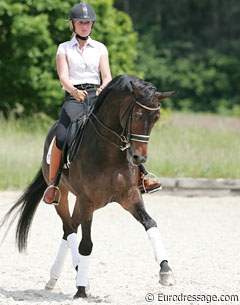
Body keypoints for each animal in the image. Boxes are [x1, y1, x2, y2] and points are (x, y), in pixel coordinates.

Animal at [0, 73, 176, 296]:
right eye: (136, 115)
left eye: (156, 118)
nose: (139, 158)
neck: (110, 152)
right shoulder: (88, 201)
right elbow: (86, 244)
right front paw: (81, 290)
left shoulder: (130, 196)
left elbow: (150, 223)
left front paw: (166, 271)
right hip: (63, 196)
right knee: (69, 229)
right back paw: (74, 277)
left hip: (81, 203)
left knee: (69, 229)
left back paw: (55, 278)